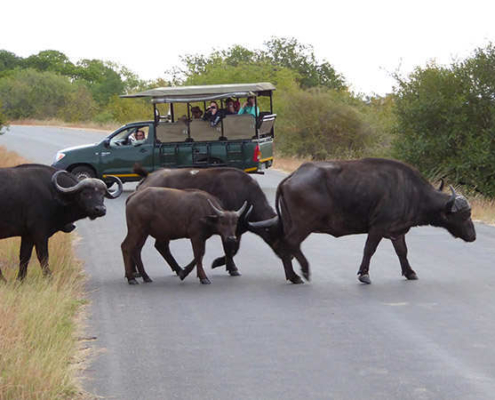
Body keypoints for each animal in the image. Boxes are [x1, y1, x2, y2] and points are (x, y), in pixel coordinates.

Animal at [248, 159, 476, 284]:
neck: (410, 192)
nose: (473, 236)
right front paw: (364, 275)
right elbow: (369, 249)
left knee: (284, 244)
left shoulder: (397, 231)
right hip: (303, 225)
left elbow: (402, 252)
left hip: (290, 223)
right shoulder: (378, 227)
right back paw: (302, 272)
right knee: (291, 243)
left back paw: (293, 275)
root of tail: (291, 177)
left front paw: (410, 272)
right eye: (464, 215)